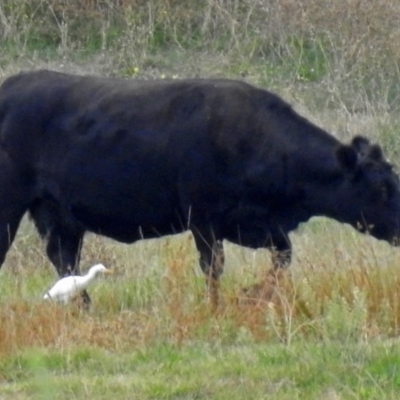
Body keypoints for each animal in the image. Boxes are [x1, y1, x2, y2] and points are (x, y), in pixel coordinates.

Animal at [0, 69, 400, 306]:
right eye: (381, 189)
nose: (399, 229)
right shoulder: (204, 220)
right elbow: (213, 267)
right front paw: (216, 306)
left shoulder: (254, 224)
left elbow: (283, 256)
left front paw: (252, 295)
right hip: (12, 206)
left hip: (60, 215)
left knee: (64, 259)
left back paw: (83, 306)